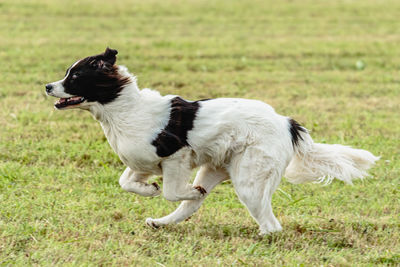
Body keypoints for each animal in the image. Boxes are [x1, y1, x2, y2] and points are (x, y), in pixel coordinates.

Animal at [46, 48, 378, 237]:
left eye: (74, 76)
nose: (48, 86)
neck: (122, 110)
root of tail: (287, 123)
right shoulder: (143, 161)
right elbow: (127, 182)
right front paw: (149, 190)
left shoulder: (175, 156)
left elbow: (170, 191)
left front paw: (169, 190)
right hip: (215, 168)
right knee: (190, 207)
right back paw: (162, 222)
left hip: (249, 181)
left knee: (271, 225)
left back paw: (259, 233)